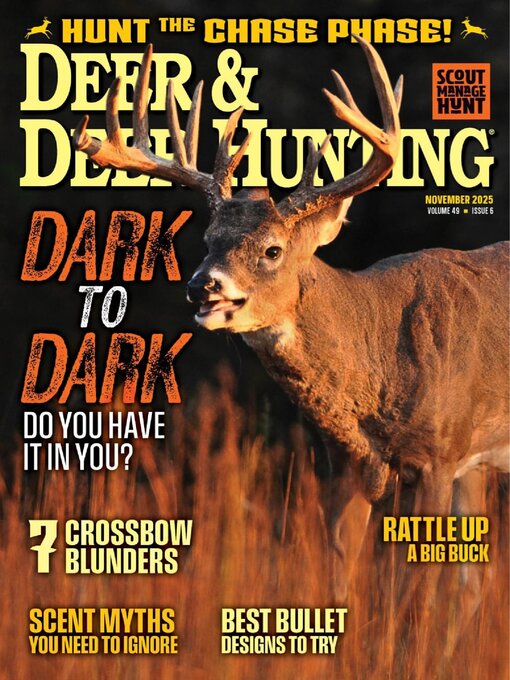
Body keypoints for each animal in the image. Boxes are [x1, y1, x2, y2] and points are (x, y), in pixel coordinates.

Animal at [74, 37, 509, 652]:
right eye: (207, 240)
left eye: (273, 250)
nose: (202, 286)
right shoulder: (345, 463)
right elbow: (338, 584)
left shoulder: (438, 454)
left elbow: (415, 602)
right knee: (473, 586)